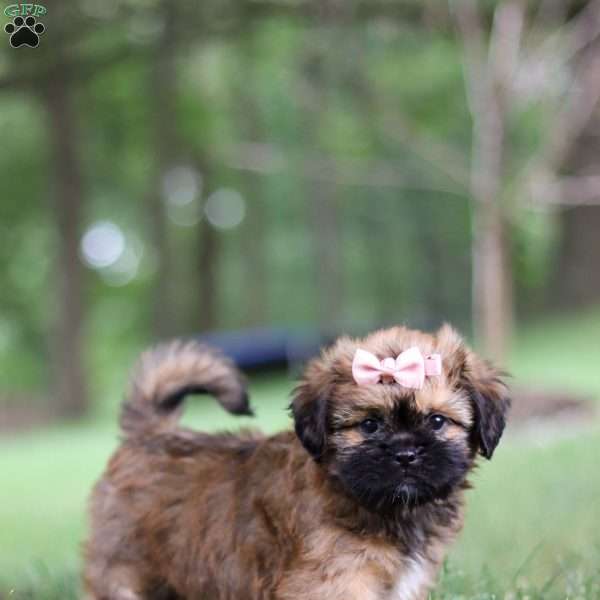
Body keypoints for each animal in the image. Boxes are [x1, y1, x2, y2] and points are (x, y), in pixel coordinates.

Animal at [82, 326, 508, 596]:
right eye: (369, 425)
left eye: (437, 421)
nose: (405, 454)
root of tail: (149, 434)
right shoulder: (334, 581)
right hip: (123, 570)